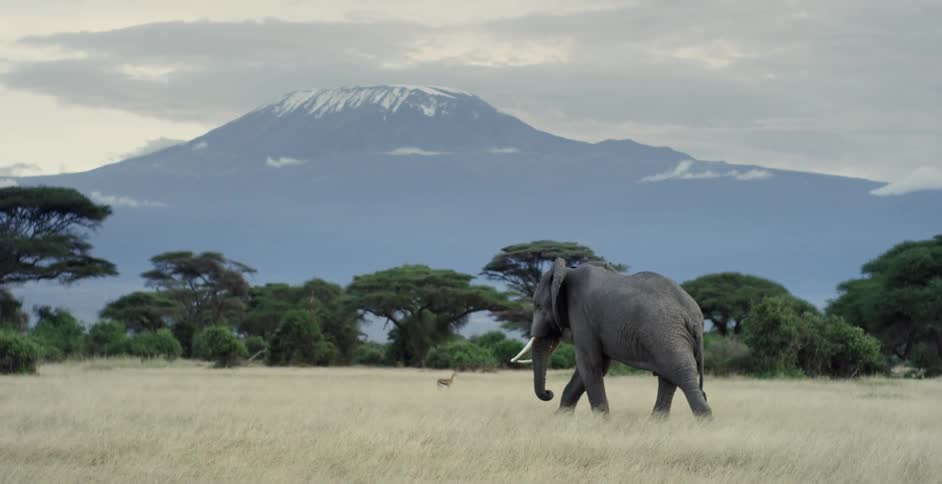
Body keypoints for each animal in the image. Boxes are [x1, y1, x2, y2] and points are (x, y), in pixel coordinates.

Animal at [510, 258, 712, 419]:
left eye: (537, 306)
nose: (549, 392)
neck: (567, 272)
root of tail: (695, 316)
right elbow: (593, 367)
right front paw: (560, 419)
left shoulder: (582, 315)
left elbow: (589, 363)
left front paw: (601, 423)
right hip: (669, 336)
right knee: (668, 378)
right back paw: (656, 424)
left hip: (666, 333)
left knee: (681, 374)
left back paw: (704, 422)